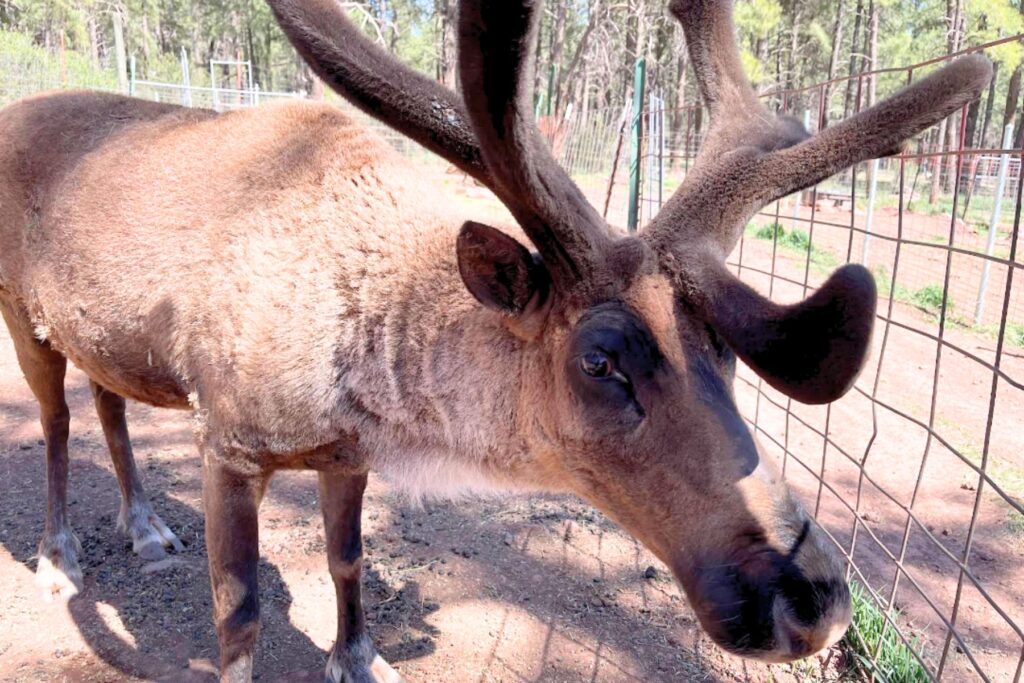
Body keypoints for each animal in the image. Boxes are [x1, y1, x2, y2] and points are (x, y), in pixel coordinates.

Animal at [0, 0, 990, 680]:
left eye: (724, 355)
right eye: (599, 359)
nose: (814, 599)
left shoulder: (344, 450)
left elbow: (347, 560)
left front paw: (359, 657)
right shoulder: (230, 442)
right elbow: (238, 616)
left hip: (104, 329)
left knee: (107, 399)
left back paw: (143, 524)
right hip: (22, 312)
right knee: (55, 422)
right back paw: (60, 557)